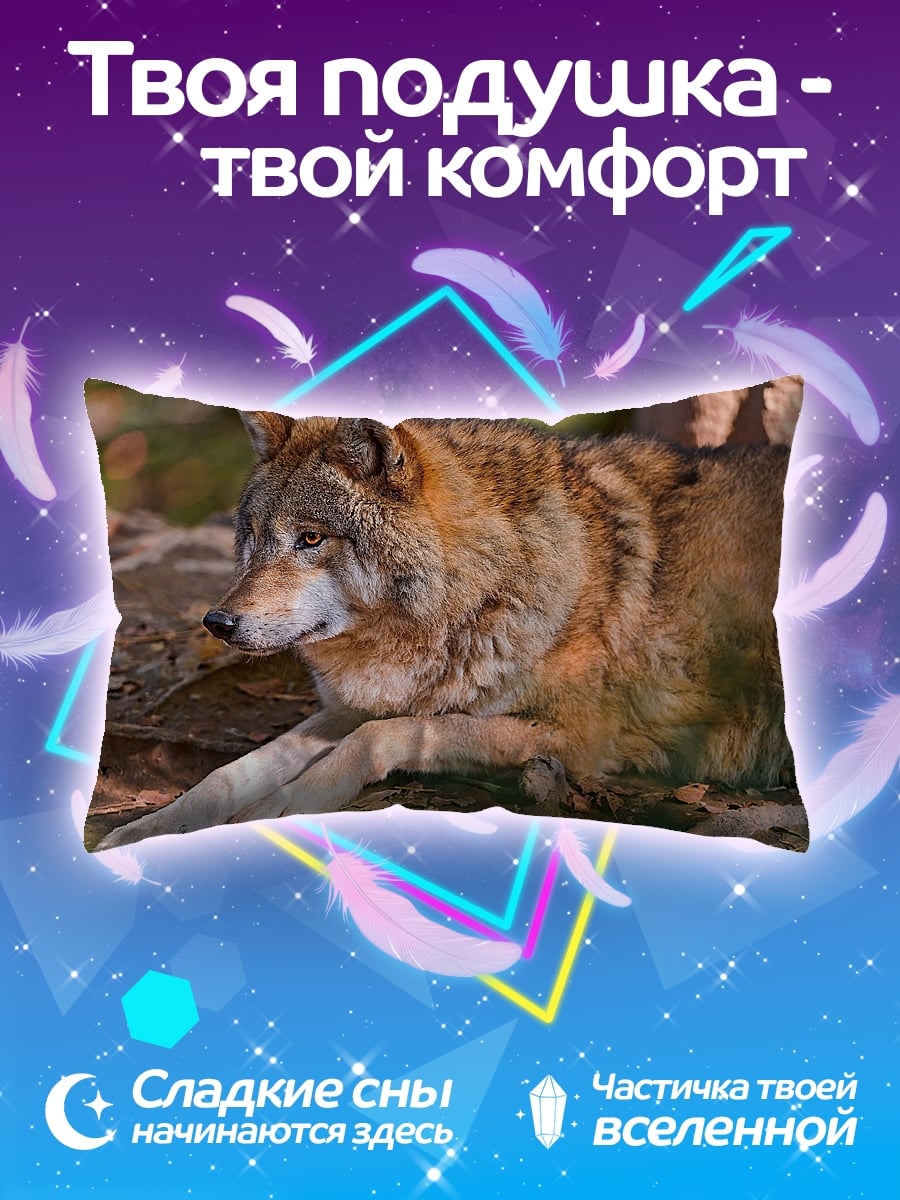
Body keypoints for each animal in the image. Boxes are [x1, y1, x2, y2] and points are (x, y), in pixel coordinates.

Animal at [99, 410, 794, 846]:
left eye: (311, 539)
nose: (218, 622)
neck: (482, 589)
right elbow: (228, 773)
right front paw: (143, 828)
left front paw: (281, 808)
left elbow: (389, 735)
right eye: (254, 537)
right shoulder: (348, 706)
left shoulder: (580, 739)